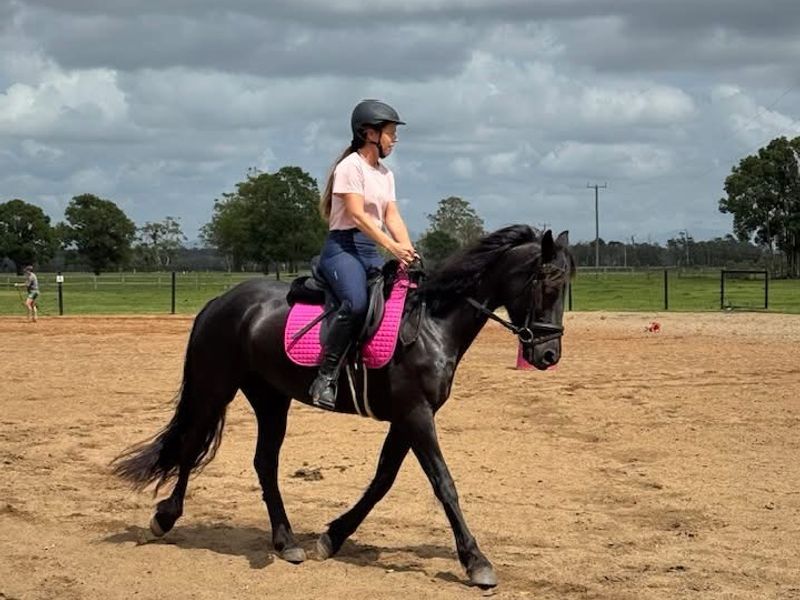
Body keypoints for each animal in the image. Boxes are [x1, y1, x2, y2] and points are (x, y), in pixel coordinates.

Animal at [112, 224, 574, 588]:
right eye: (548, 285)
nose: (548, 355)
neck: (432, 324)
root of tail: (221, 301)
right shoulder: (416, 415)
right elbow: (444, 483)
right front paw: (476, 562)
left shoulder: (406, 419)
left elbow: (382, 480)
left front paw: (332, 537)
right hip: (216, 387)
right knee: (192, 445)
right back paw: (166, 517)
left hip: (271, 399)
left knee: (264, 462)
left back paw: (286, 542)